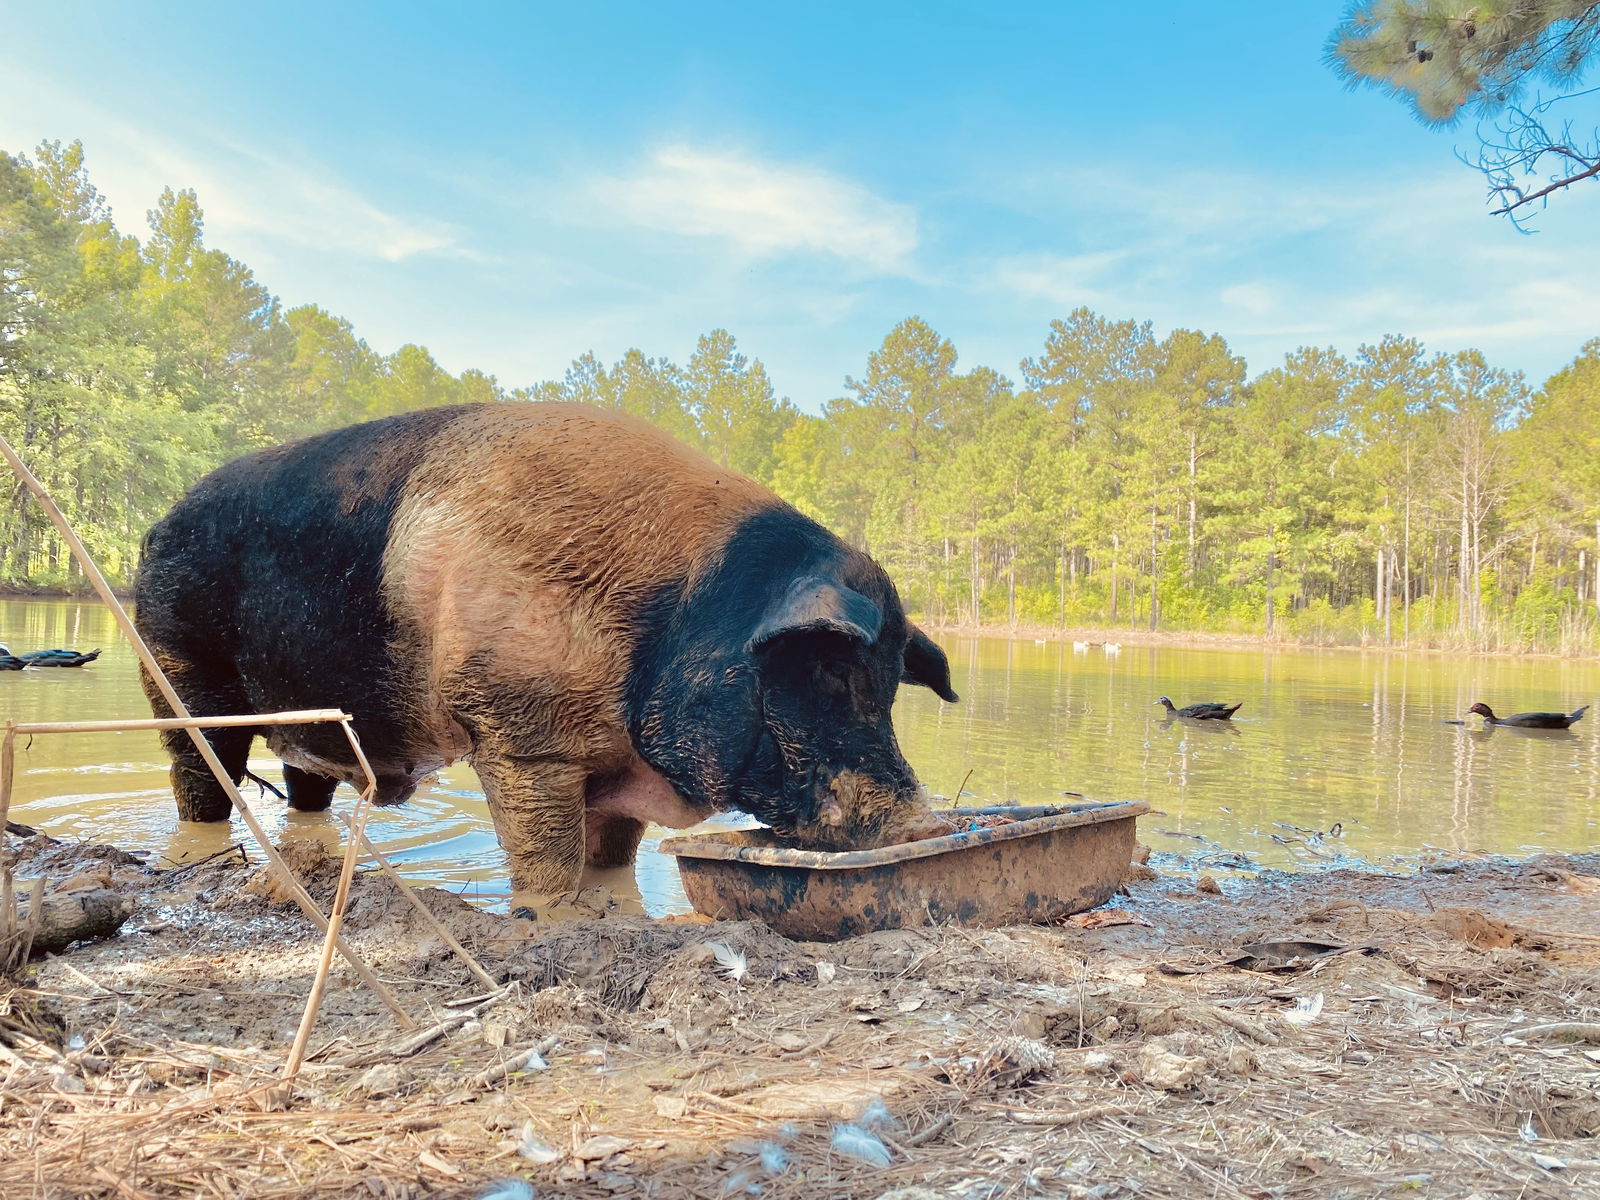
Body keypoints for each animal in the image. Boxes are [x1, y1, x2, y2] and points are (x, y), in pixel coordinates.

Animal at [133, 403, 959, 894]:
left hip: (307, 723)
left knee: (308, 785)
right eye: (831, 670)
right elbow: (547, 861)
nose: (926, 822)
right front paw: (553, 913)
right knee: (199, 776)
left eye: (890, 682)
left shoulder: (621, 771)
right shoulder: (517, 734)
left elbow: (612, 859)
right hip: (177, 667)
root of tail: (158, 522)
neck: (663, 618)